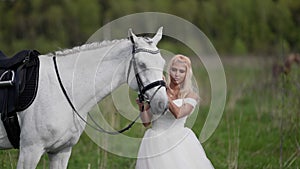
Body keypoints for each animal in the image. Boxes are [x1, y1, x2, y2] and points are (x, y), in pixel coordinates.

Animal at [0, 27, 168, 168]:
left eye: (162, 63)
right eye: (142, 64)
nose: (162, 103)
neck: (63, 91)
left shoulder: (61, 151)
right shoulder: (30, 151)